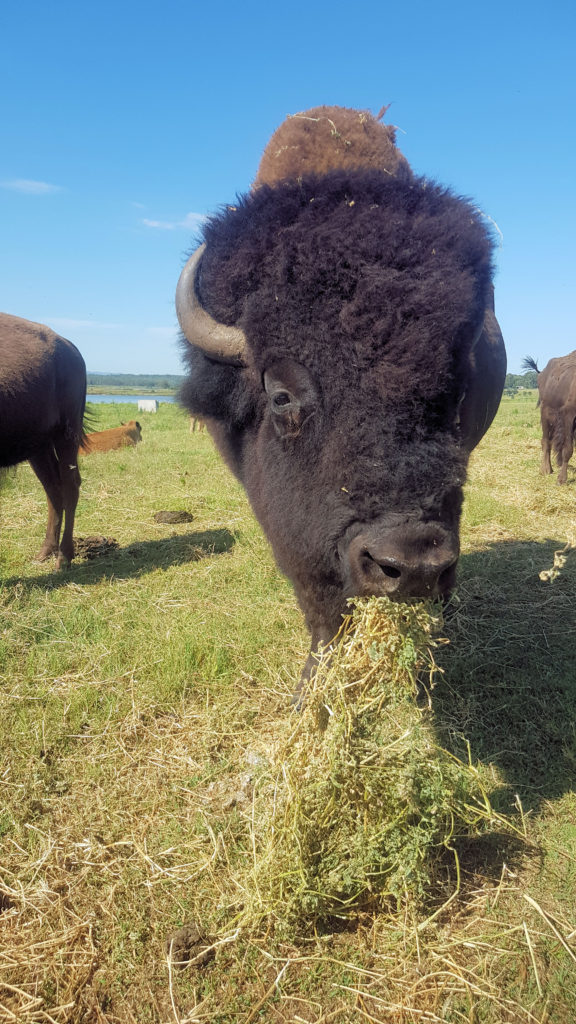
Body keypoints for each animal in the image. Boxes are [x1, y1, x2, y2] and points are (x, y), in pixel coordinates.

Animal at [0, 311, 85, 569]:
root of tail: (71, 348)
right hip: (38, 447)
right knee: (53, 488)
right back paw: (46, 551)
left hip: (66, 433)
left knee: (69, 485)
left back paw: (64, 557)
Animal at [520, 352, 573, 483]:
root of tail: (541, 373)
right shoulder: (569, 415)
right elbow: (568, 449)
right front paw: (562, 479)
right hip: (545, 414)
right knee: (546, 441)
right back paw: (545, 469)